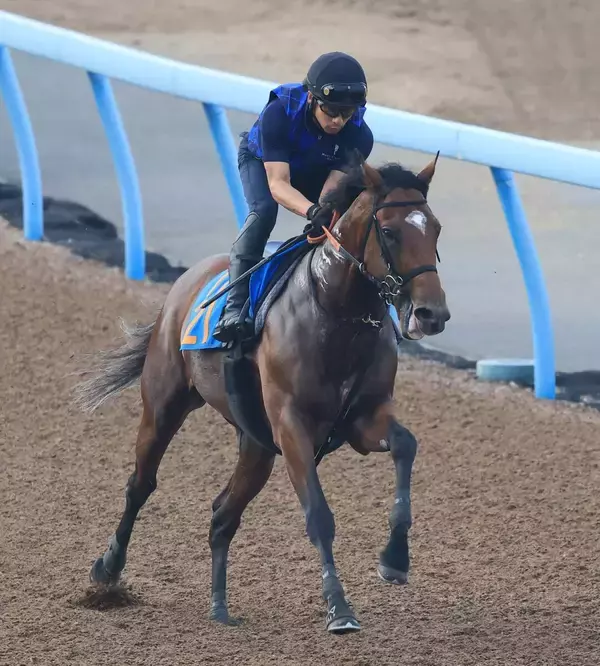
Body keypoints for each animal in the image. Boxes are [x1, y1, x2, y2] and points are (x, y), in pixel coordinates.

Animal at [74, 157, 450, 634]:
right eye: (389, 230)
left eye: (435, 227)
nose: (432, 314)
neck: (336, 312)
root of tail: (186, 281)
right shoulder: (291, 426)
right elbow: (318, 515)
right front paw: (339, 609)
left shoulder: (363, 417)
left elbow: (406, 444)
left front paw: (395, 559)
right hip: (165, 404)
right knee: (141, 483)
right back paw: (107, 570)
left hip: (256, 444)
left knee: (222, 515)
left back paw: (219, 607)